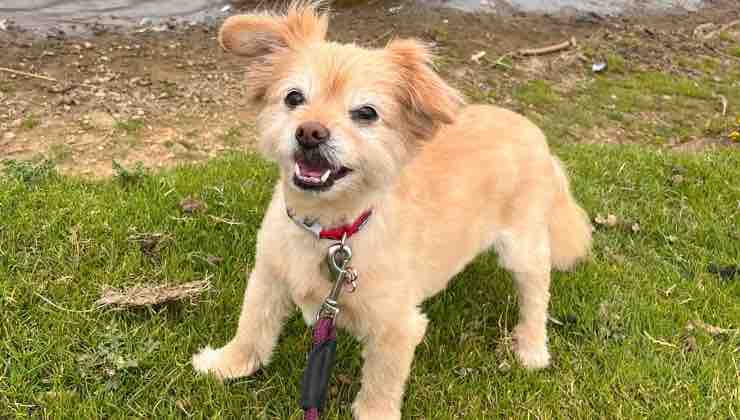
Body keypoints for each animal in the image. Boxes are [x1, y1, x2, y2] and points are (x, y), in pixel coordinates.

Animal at [194, 4, 592, 420]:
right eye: (294, 97)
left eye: (366, 113)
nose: (310, 132)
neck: (330, 229)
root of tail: (534, 132)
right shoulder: (268, 279)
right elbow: (253, 327)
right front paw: (228, 364)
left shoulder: (397, 326)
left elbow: (382, 383)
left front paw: (374, 411)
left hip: (522, 249)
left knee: (536, 294)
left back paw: (531, 347)